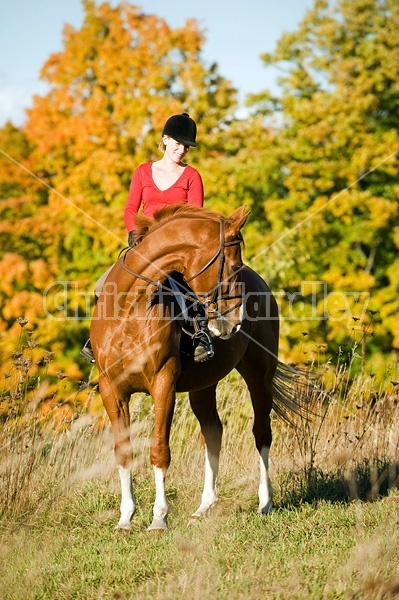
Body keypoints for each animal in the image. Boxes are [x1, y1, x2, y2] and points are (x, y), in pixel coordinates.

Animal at [90, 205, 296, 528]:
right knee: (212, 432)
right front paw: (125, 518)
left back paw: (266, 503)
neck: (129, 309)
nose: (232, 322)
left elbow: (159, 450)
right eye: (233, 266)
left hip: (259, 375)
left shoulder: (163, 383)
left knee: (261, 432)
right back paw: (205, 506)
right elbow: (123, 452)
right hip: (204, 384)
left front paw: (158, 518)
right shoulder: (112, 390)